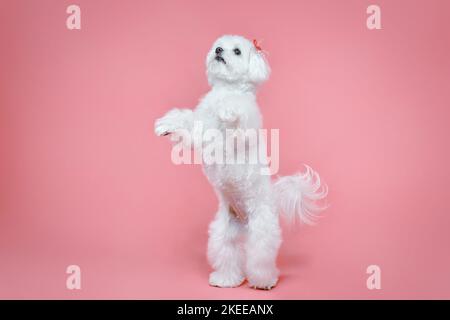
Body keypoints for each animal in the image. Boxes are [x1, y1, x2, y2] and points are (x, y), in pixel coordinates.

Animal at [155, 35, 326, 290]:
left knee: (260, 259)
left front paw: (228, 108)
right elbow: (186, 120)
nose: (218, 51)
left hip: (262, 231)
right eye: (219, 45)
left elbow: (232, 117)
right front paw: (166, 125)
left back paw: (264, 281)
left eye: (236, 51)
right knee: (229, 255)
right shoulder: (201, 121)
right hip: (223, 234)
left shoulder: (239, 129)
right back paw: (226, 280)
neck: (226, 89)